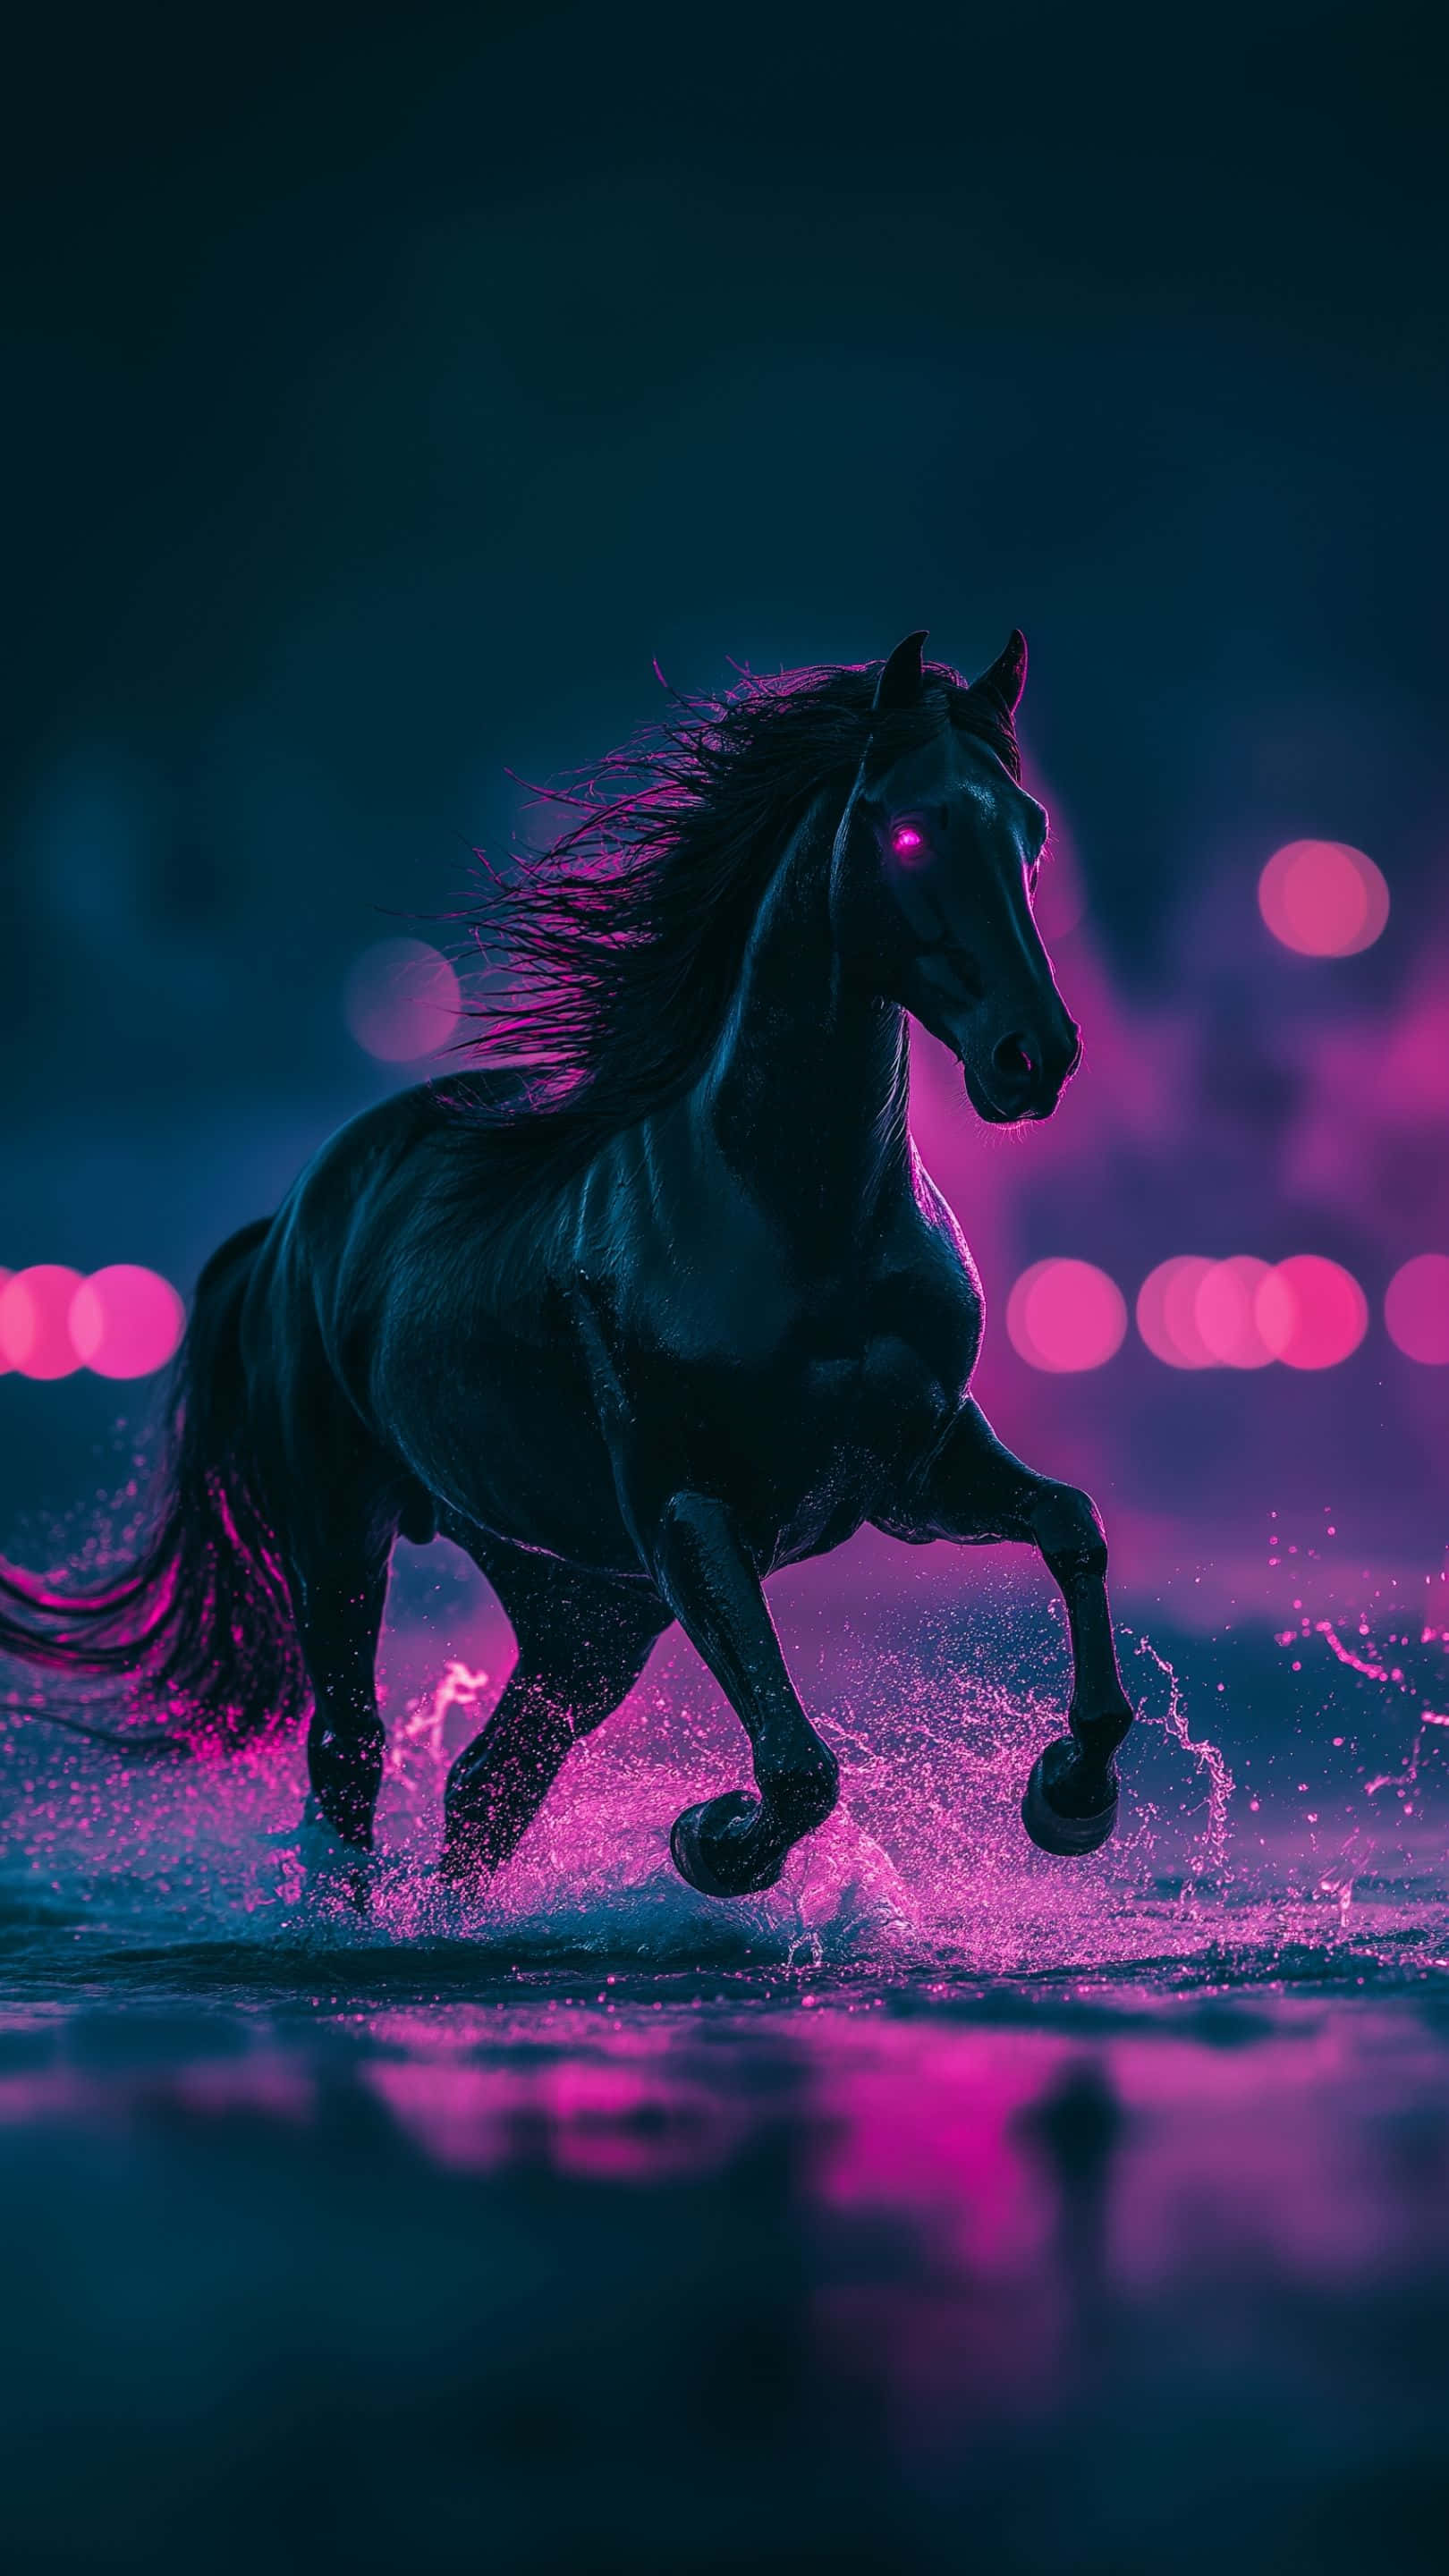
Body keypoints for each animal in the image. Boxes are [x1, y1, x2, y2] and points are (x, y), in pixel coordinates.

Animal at [0, 628, 1134, 1899]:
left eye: (1030, 832)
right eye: (908, 832)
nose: (1035, 1056)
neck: (802, 1226)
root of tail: (290, 1222)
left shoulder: (917, 1466)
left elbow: (1072, 1525)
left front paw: (1072, 1794)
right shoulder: (687, 1513)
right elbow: (797, 1767)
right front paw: (712, 1839)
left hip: (582, 1608)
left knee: (487, 1782)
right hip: (344, 1530)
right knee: (350, 1750)